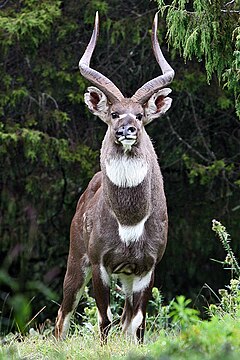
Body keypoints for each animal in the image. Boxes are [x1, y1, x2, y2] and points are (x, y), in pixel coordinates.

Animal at [55, 11, 173, 344]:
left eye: (141, 115)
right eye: (114, 113)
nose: (126, 130)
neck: (130, 221)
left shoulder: (147, 267)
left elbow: (137, 325)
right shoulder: (100, 262)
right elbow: (104, 321)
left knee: (125, 320)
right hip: (76, 260)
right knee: (62, 315)